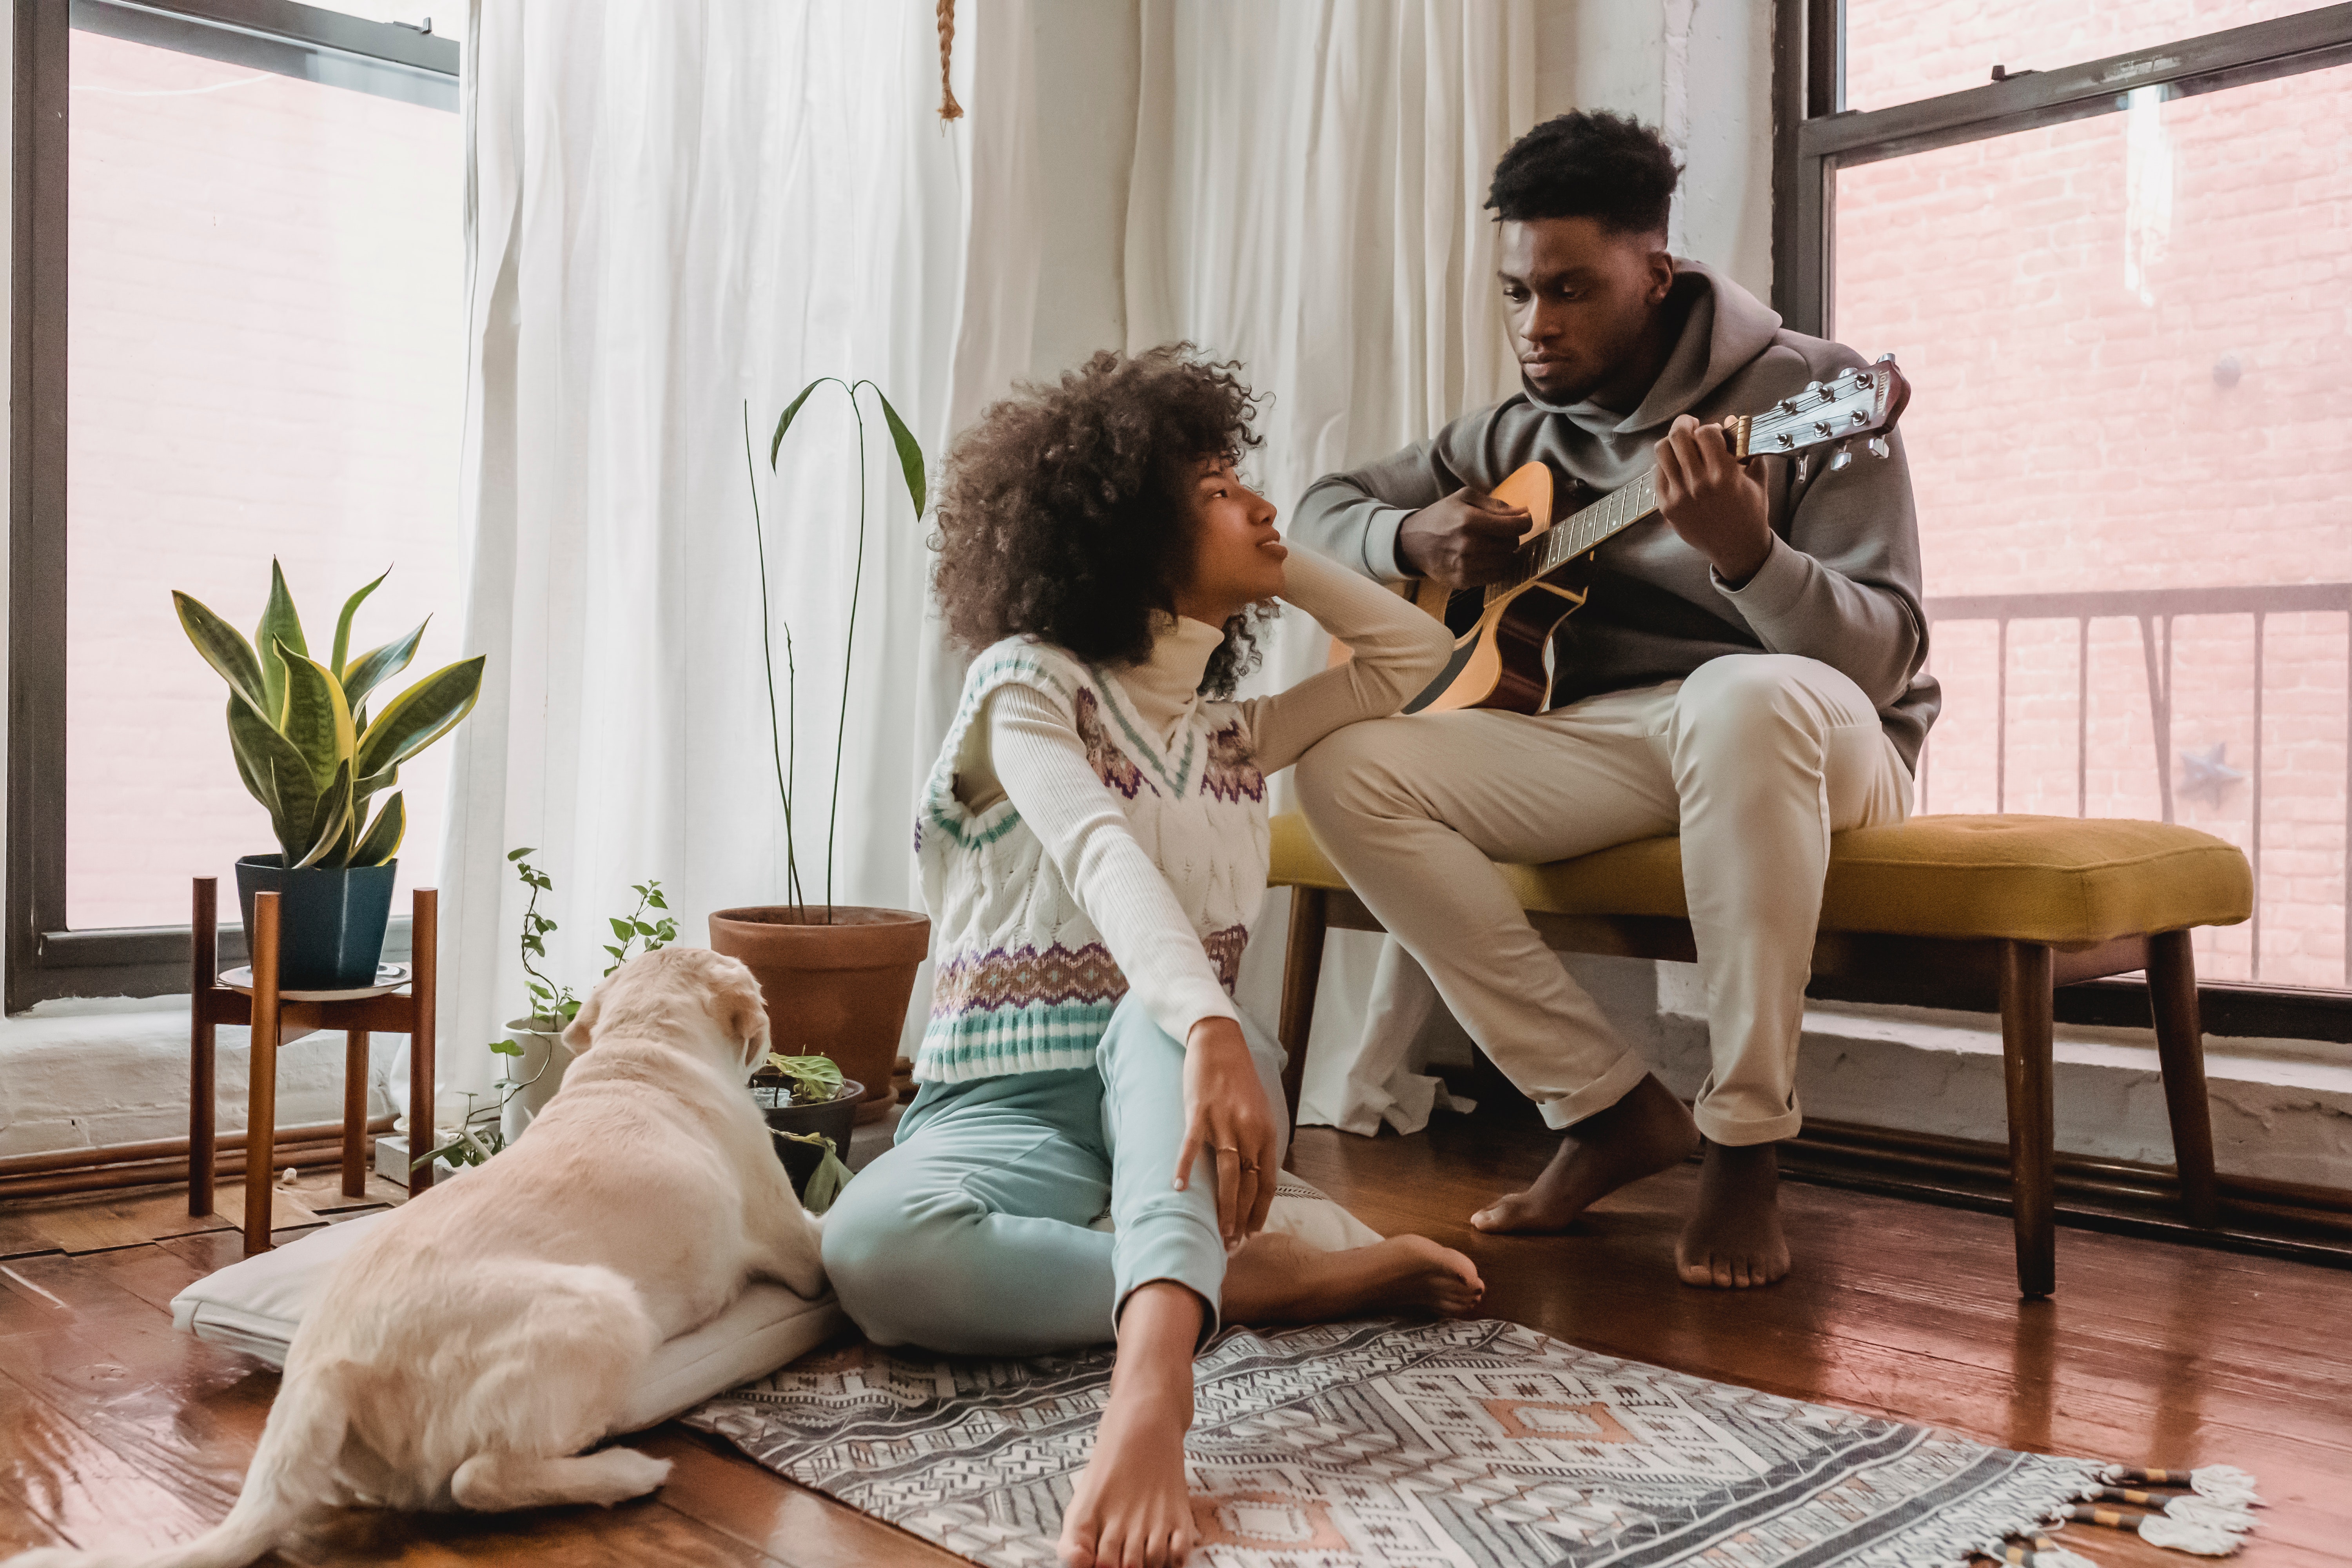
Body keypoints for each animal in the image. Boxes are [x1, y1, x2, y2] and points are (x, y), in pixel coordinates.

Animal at [7, 945, 828, 1568]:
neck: (643, 1052)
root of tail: (328, 1366)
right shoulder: (799, 1245)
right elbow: (818, 1237)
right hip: (604, 1309)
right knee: (482, 1477)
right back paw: (624, 1472)